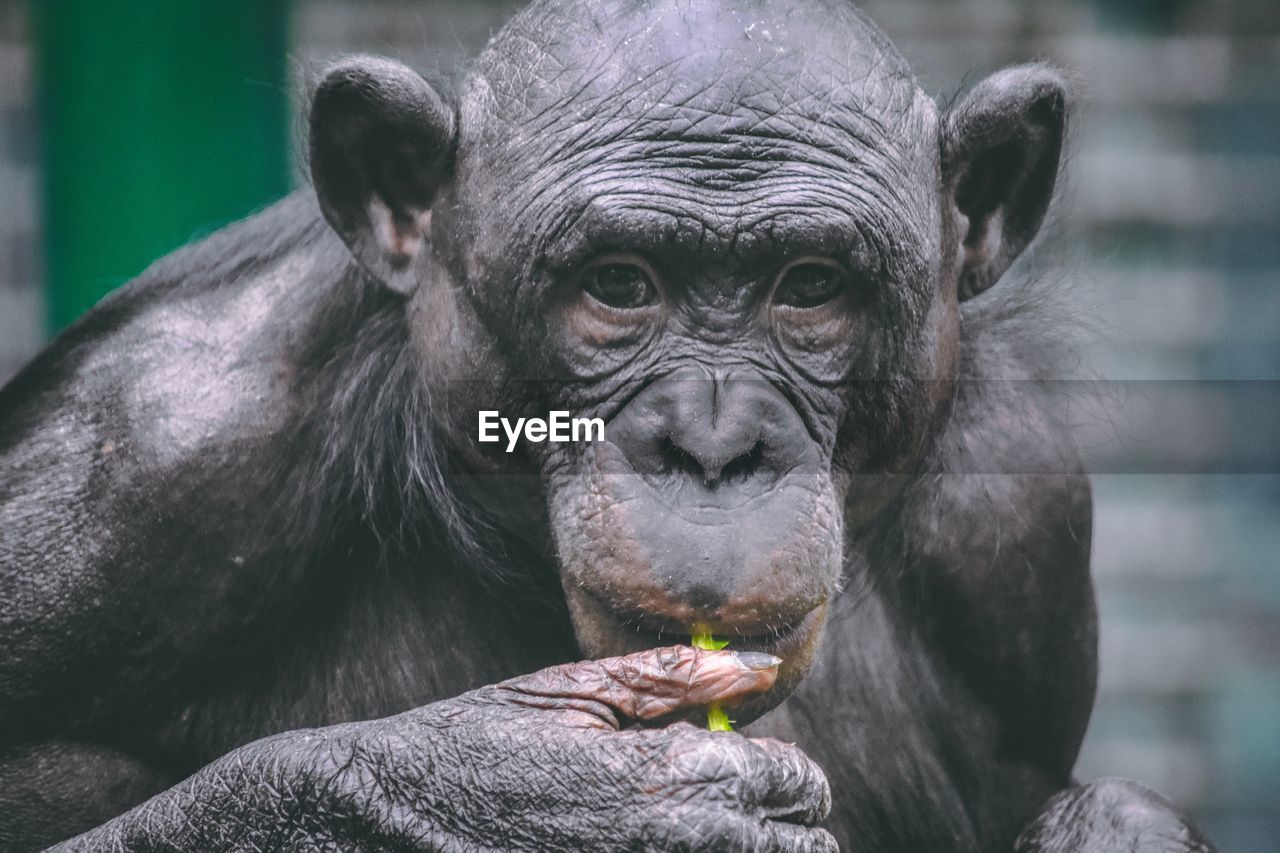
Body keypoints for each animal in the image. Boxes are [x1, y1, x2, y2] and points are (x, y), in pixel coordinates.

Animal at [2, 1, 1218, 850]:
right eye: (620, 283)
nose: (715, 446)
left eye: (810, 286)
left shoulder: (1018, 513)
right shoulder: (122, 467)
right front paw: (535, 802)